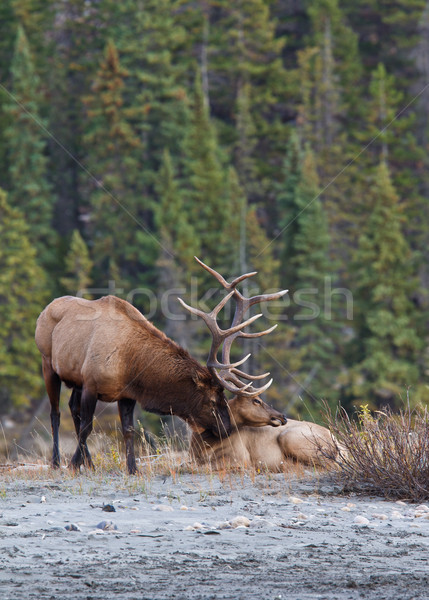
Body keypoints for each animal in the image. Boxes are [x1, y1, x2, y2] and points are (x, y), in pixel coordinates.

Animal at [35, 258, 286, 474]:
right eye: (212, 400)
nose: (228, 428)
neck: (130, 363)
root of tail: (44, 309)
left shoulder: (126, 394)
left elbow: (128, 431)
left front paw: (132, 469)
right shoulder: (91, 383)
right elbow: (87, 427)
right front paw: (73, 465)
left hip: (74, 378)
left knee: (72, 408)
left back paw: (88, 462)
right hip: (48, 364)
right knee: (56, 412)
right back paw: (57, 462)